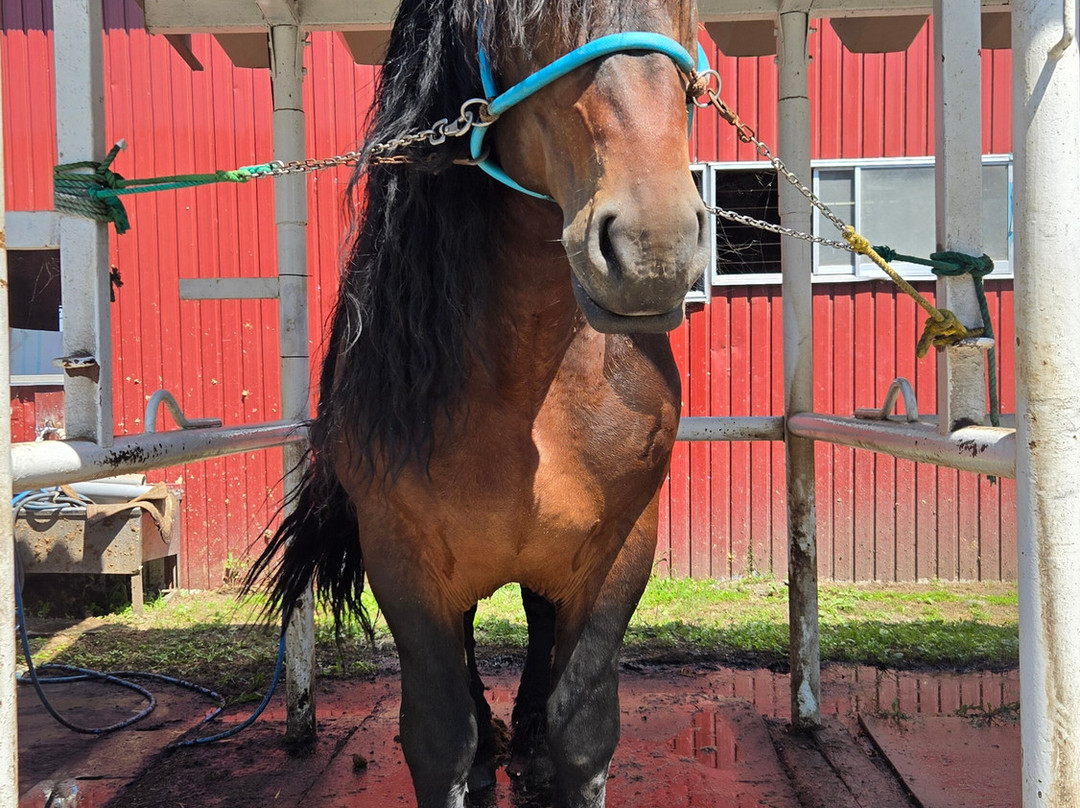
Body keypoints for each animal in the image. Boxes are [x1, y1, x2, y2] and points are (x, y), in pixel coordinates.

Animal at [248, 0, 709, 804]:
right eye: (529, 17)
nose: (656, 248)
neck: (528, 393)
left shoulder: (620, 552)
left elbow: (583, 730)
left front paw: (549, 750)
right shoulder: (403, 564)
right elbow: (439, 738)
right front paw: (474, 752)